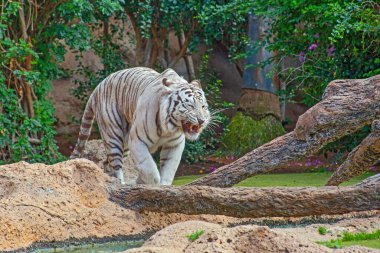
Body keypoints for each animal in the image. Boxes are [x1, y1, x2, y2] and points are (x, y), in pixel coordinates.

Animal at [71, 67, 211, 185]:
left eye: (203, 106)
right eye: (190, 106)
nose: (201, 120)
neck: (169, 128)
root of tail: (97, 87)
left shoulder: (174, 144)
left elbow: (169, 169)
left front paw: (163, 186)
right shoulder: (137, 141)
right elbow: (149, 168)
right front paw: (149, 184)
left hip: (125, 144)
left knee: (107, 162)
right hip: (114, 134)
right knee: (116, 163)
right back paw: (121, 184)